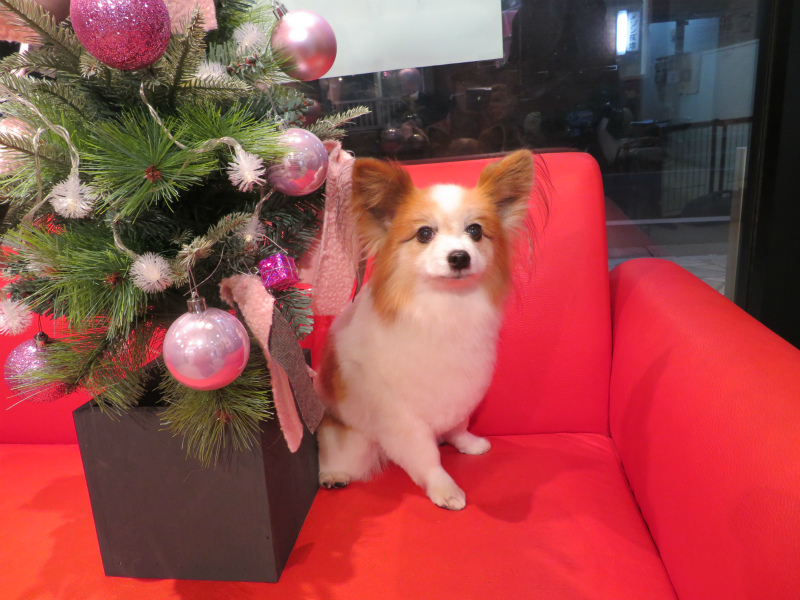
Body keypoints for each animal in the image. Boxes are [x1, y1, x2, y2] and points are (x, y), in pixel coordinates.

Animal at [314, 149, 536, 510]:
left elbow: (458, 425)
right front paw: (444, 488)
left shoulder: (460, 389)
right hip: (348, 437)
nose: (459, 257)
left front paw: (468, 443)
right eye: (424, 234)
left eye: (475, 231)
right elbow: (426, 455)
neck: (446, 307)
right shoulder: (403, 418)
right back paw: (334, 475)